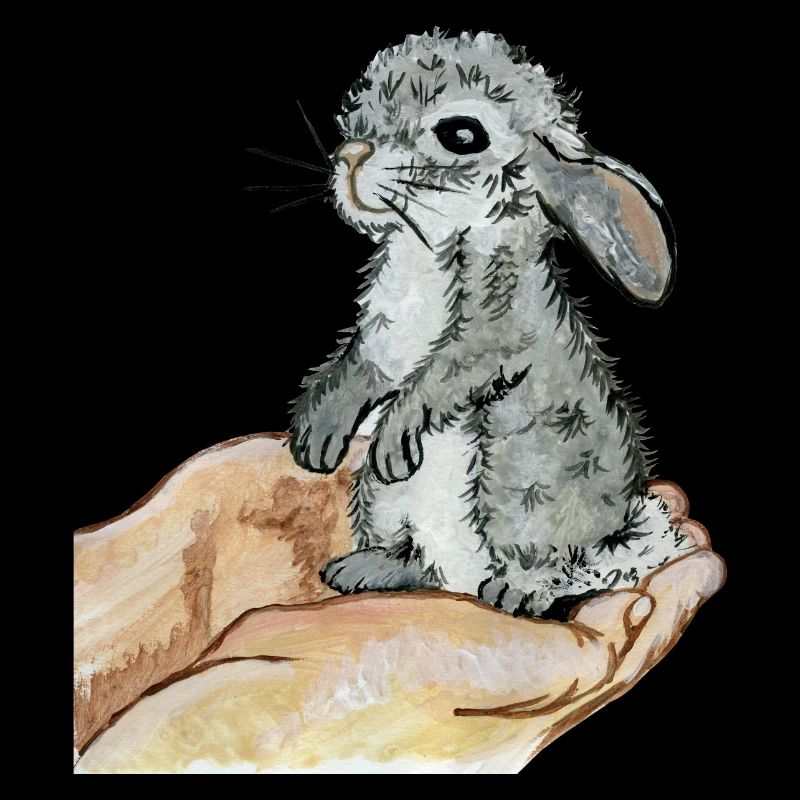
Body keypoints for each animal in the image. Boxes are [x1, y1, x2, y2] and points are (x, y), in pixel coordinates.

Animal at [288, 29, 690, 618]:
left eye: (461, 135)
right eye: (355, 115)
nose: (351, 157)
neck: (429, 247)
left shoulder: (496, 334)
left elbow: (446, 373)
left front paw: (392, 435)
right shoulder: (382, 338)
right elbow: (359, 368)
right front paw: (316, 435)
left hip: (521, 486)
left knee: (546, 563)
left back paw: (515, 592)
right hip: (385, 500)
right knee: (415, 557)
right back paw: (369, 567)